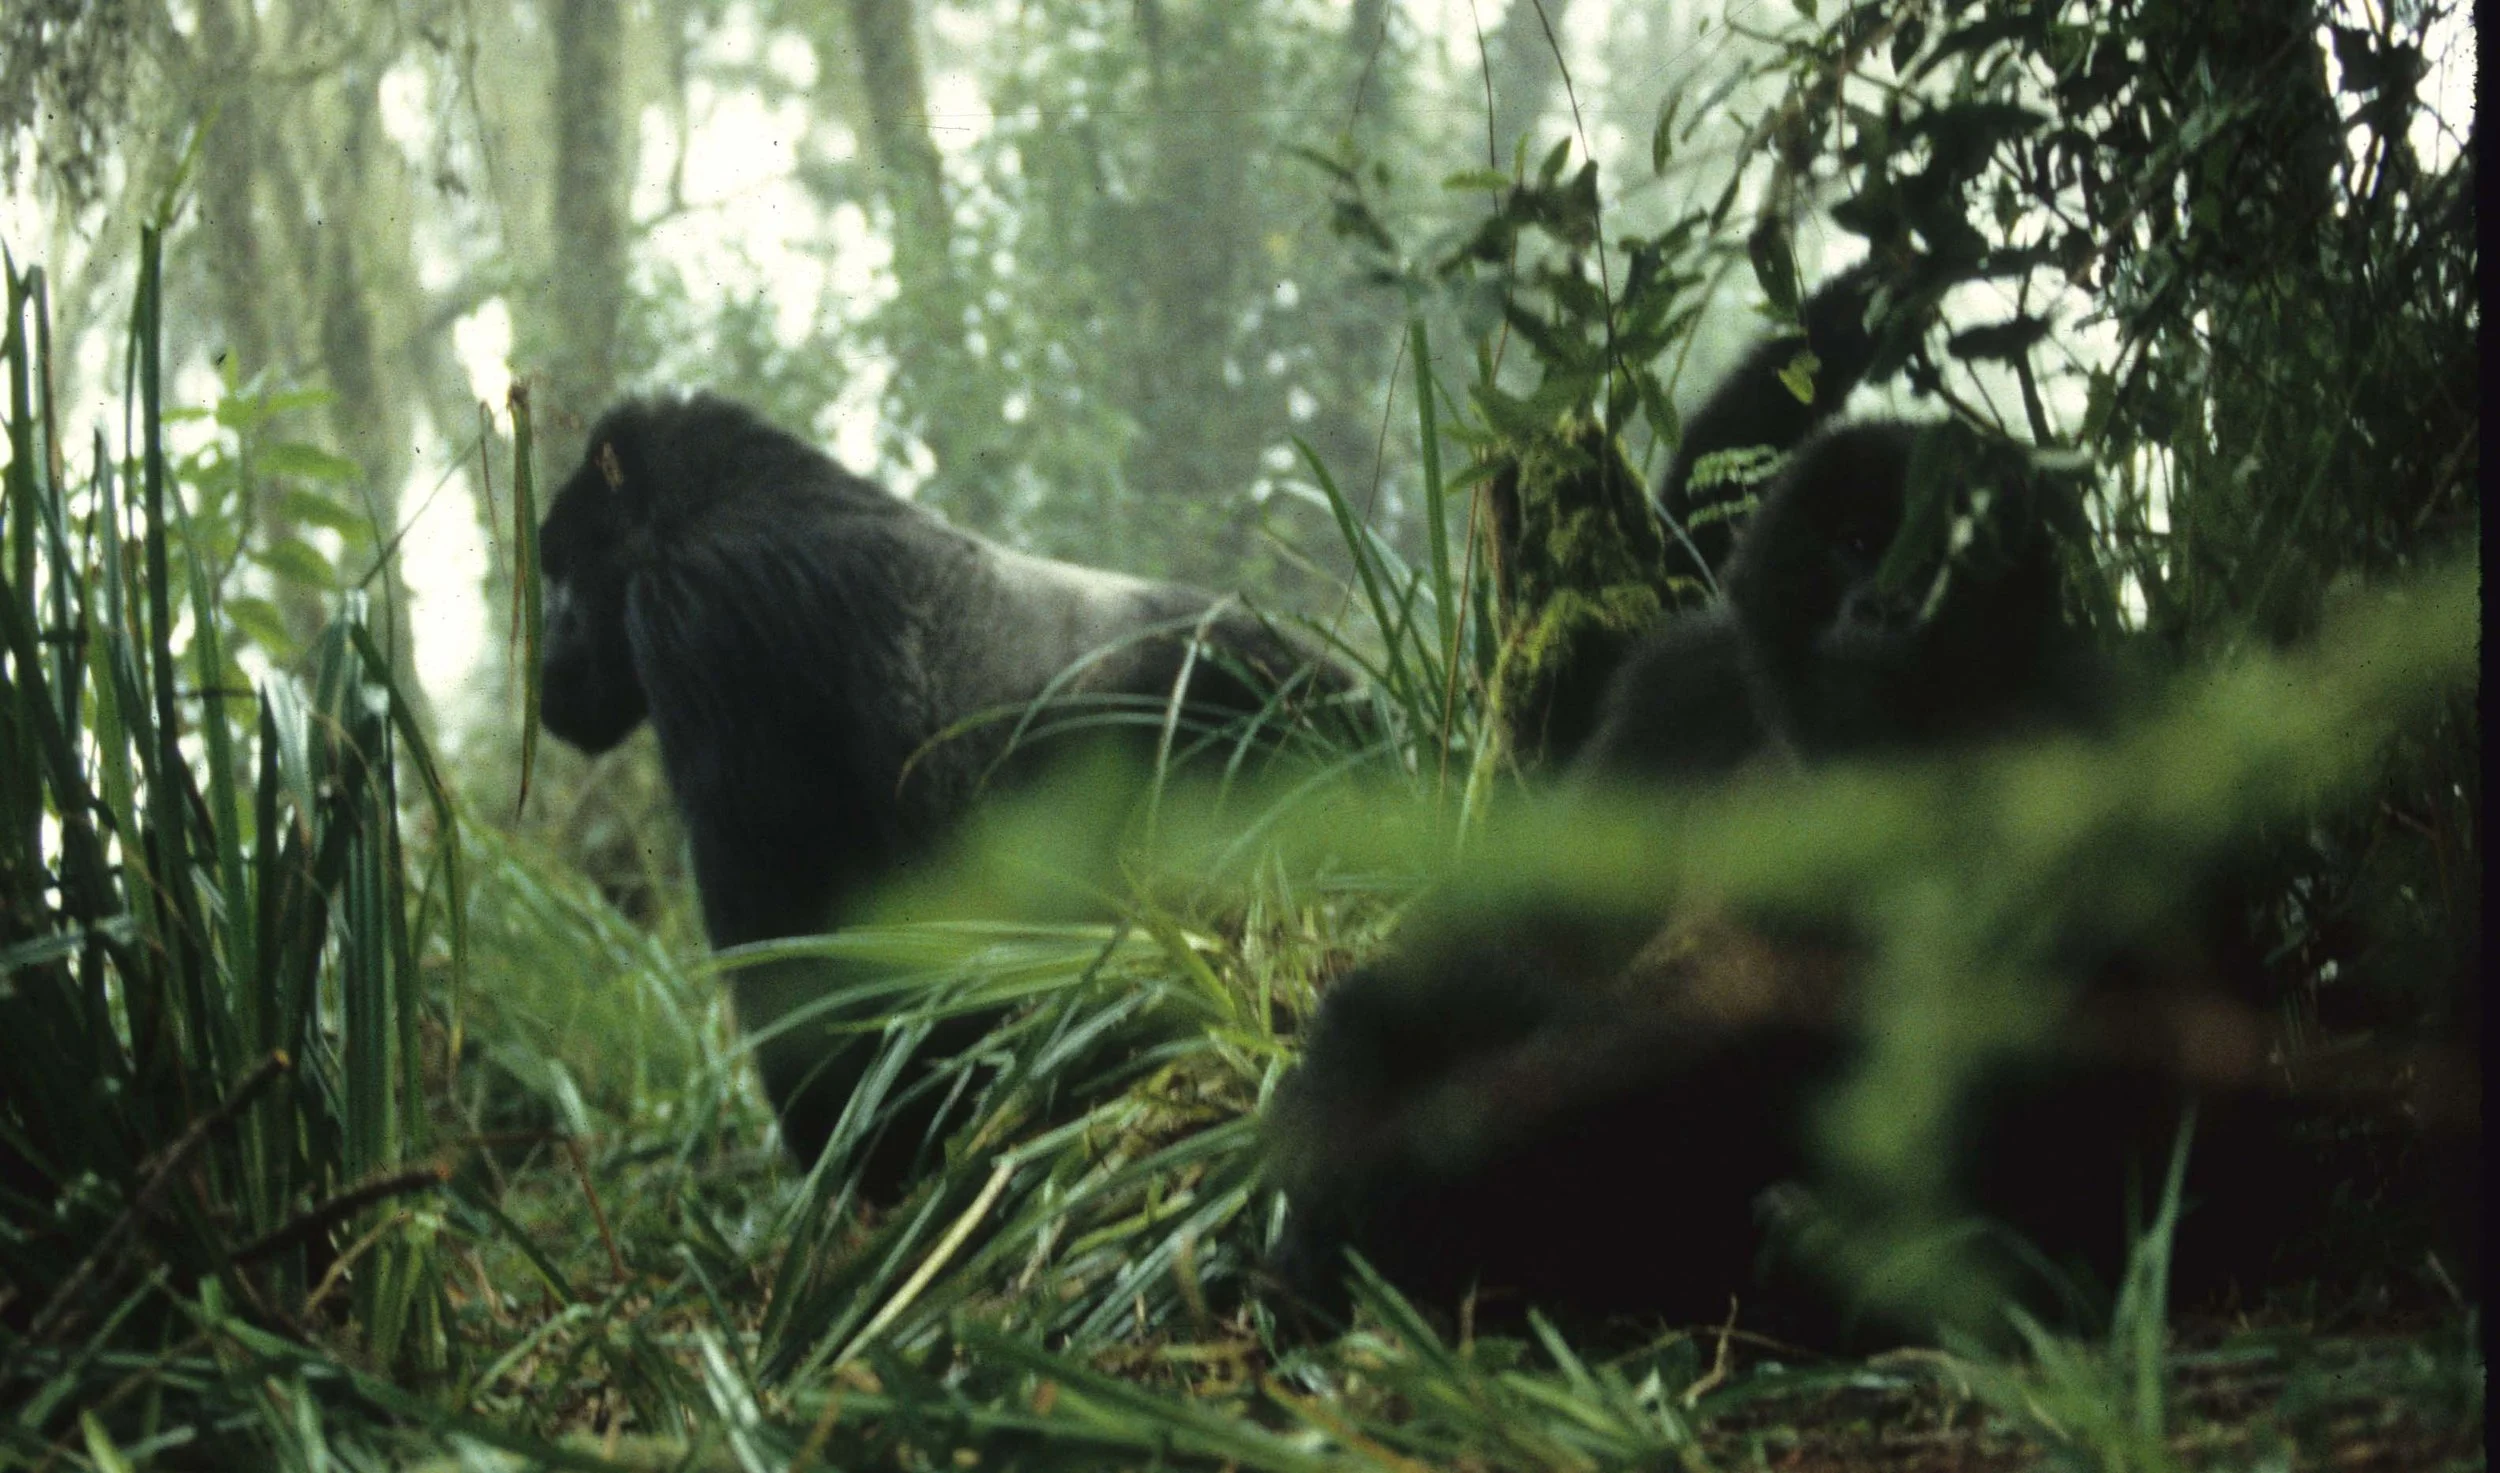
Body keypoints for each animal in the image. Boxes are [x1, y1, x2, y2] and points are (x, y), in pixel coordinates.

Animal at [536, 391, 1347, 1196]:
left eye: (559, 574)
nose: (545, 672)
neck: (704, 503)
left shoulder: (703, 616)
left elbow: (790, 947)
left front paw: (860, 1158)